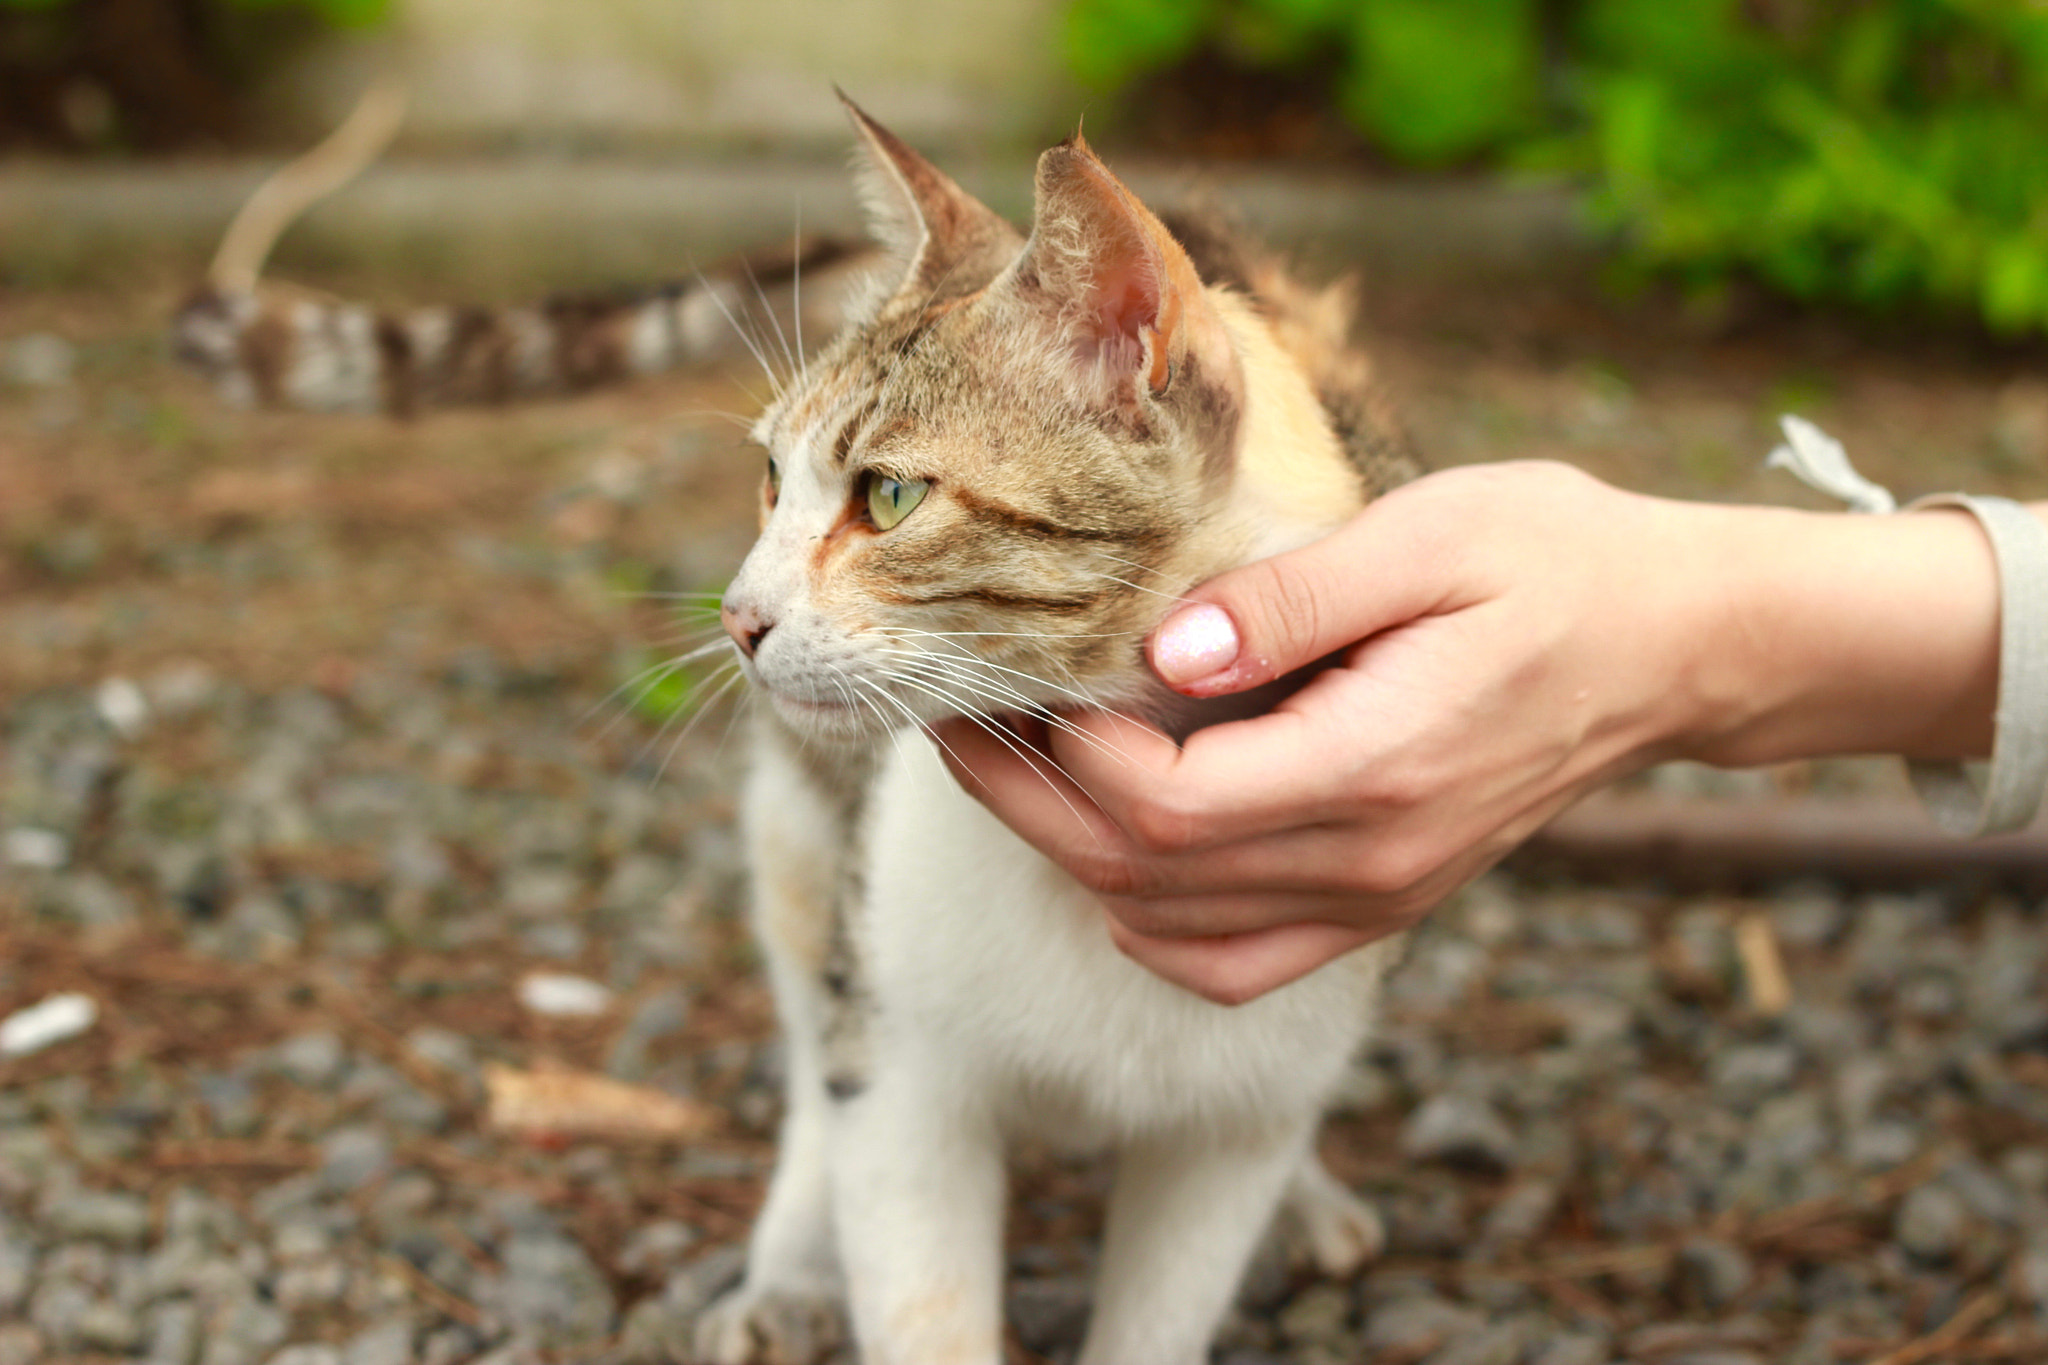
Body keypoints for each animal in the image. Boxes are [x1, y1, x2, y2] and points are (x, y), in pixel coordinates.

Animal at [696, 98, 1417, 1365]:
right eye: (770, 479)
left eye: (889, 496)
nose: (735, 617)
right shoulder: (901, 1083)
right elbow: (916, 1289)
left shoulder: (1235, 1120)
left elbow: (1166, 1304)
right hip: (797, 842)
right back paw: (786, 1269)